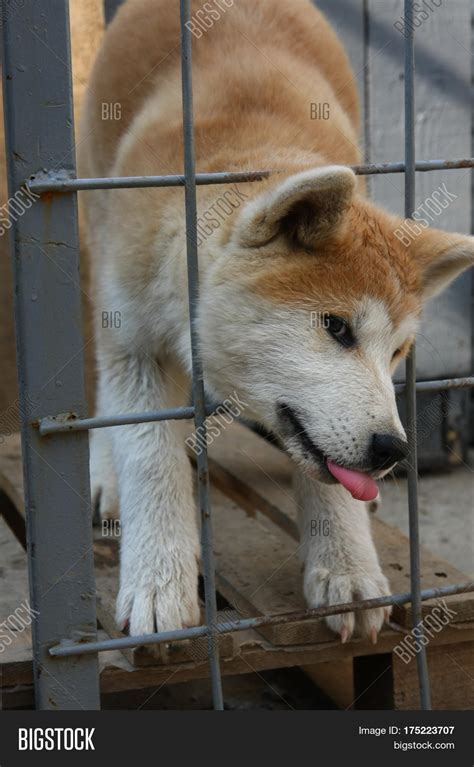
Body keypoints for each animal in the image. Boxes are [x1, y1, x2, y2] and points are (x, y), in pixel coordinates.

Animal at [81, 0, 474, 640]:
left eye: (396, 353)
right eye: (336, 327)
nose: (393, 449)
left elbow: (327, 482)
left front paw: (347, 569)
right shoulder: (135, 340)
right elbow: (148, 457)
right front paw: (159, 584)